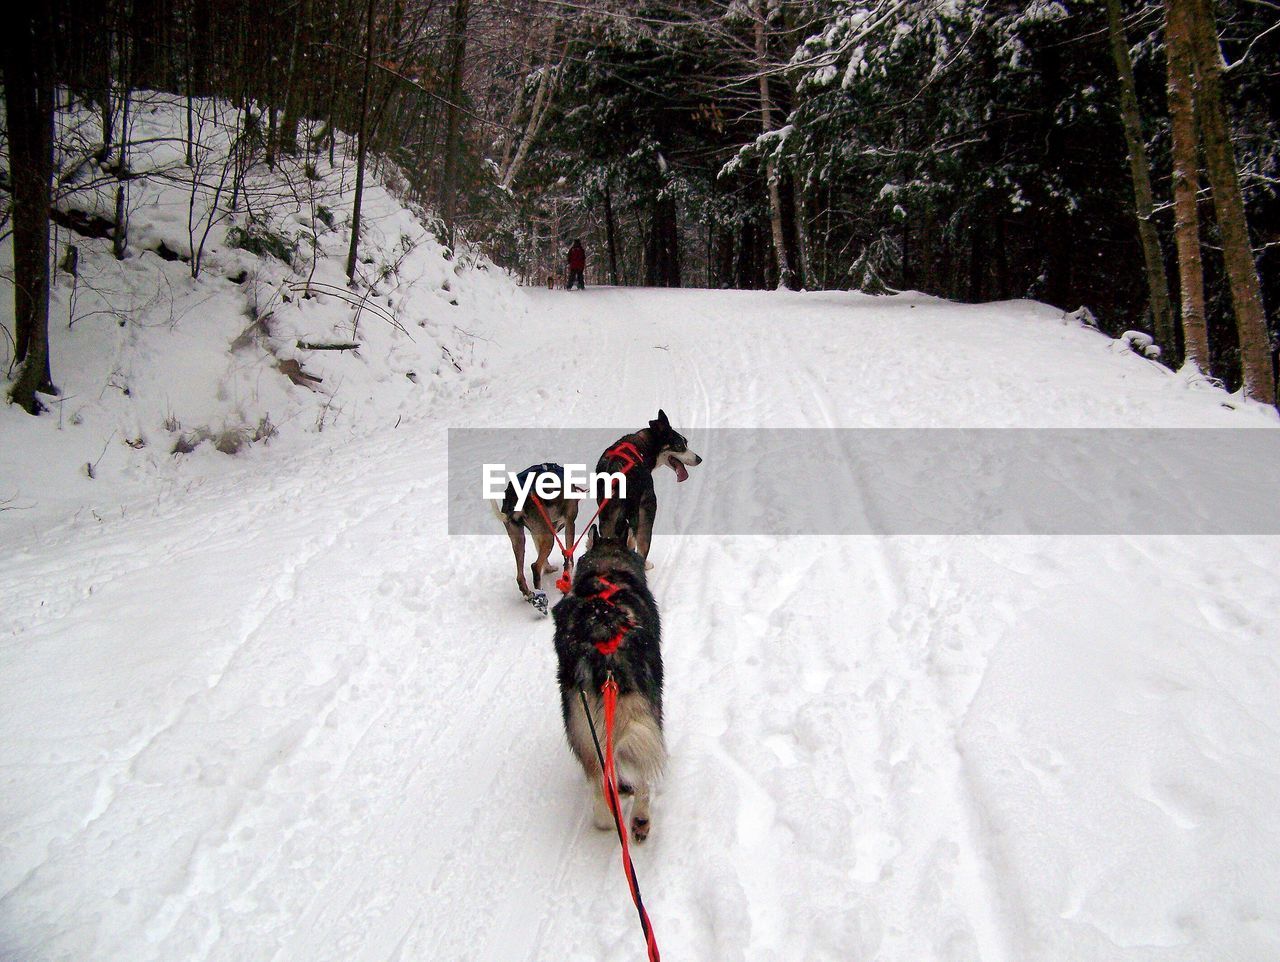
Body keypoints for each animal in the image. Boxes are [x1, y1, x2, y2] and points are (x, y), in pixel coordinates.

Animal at [494, 463, 581, 611]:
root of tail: (515, 497)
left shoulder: (540, 532)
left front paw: (549, 569)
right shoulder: (570, 523)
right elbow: (569, 556)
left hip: (519, 539)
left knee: (520, 576)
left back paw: (529, 595)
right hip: (549, 538)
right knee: (535, 566)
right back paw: (541, 598)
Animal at [552, 527, 665, 839]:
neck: (606, 568)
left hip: (580, 724)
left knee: (598, 775)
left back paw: (606, 815)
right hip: (642, 712)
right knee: (639, 776)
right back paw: (640, 817)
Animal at [596, 409, 706, 567]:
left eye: (686, 443)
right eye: (680, 446)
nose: (699, 459)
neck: (642, 446)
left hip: (608, 520)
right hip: (645, 514)